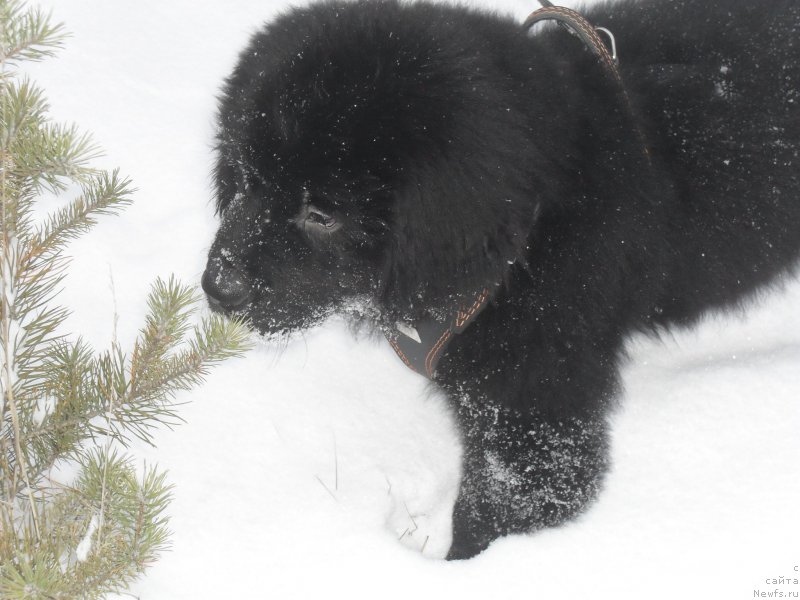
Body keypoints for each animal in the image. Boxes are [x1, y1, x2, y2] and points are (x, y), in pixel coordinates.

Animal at [205, 0, 800, 560]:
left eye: (322, 214)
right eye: (245, 180)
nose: (217, 288)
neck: (529, 234)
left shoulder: (534, 410)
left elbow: (498, 505)